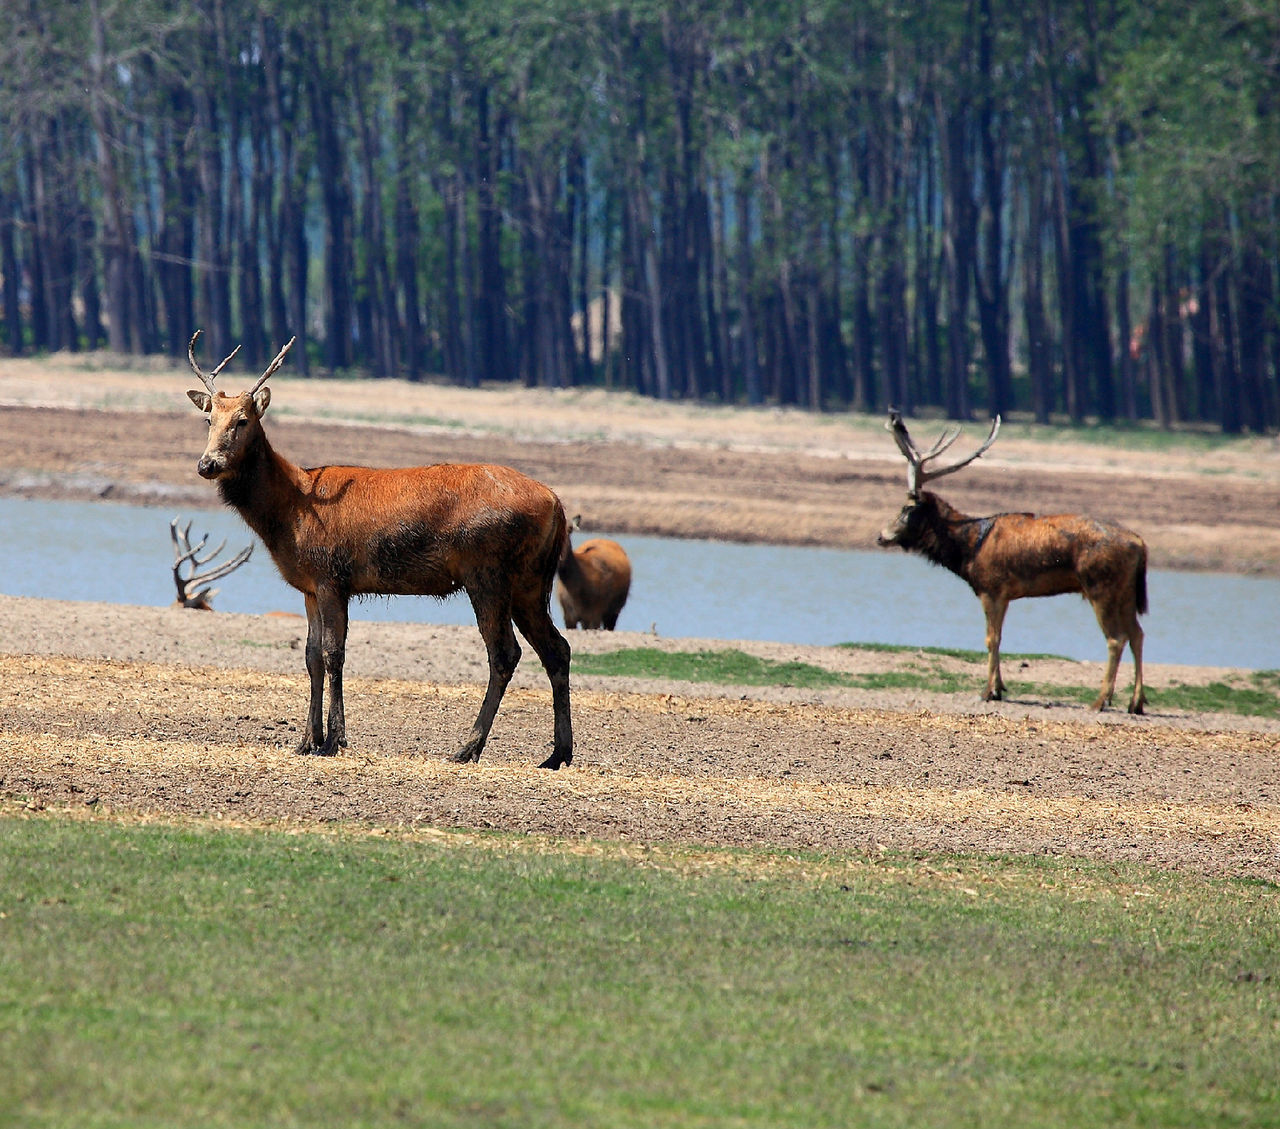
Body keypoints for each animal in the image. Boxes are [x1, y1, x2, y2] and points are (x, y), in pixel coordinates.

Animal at [184, 330, 573, 768]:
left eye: (243, 420)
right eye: (208, 420)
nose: (208, 464)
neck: (289, 511)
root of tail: (557, 504)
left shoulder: (332, 575)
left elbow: (334, 654)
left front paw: (334, 739)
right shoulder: (309, 587)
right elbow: (311, 656)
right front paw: (306, 740)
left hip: (488, 571)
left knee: (505, 652)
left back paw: (468, 747)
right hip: (530, 581)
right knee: (557, 648)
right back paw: (558, 753)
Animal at [876, 410, 1148, 714]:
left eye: (906, 508)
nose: (881, 535)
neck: (969, 550)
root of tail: (1140, 544)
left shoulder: (991, 588)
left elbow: (990, 638)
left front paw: (988, 691)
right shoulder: (1005, 594)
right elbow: (999, 637)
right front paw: (999, 687)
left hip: (1101, 587)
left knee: (1116, 638)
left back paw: (1101, 700)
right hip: (1126, 591)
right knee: (1137, 634)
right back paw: (1136, 703)